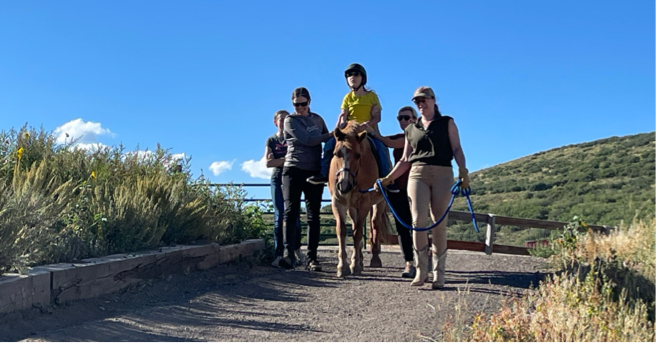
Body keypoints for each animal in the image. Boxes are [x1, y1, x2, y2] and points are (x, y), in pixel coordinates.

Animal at [326, 122, 392, 278]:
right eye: (336, 154)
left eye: (357, 155)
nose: (344, 185)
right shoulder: (338, 202)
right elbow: (342, 231)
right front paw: (343, 266)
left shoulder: (364, 204)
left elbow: (357, 233)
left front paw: (354, 265)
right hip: (352, 207)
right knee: (356, 224)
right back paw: (360, 260)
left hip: (379, 203)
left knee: (374, 224)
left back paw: (374, 259)